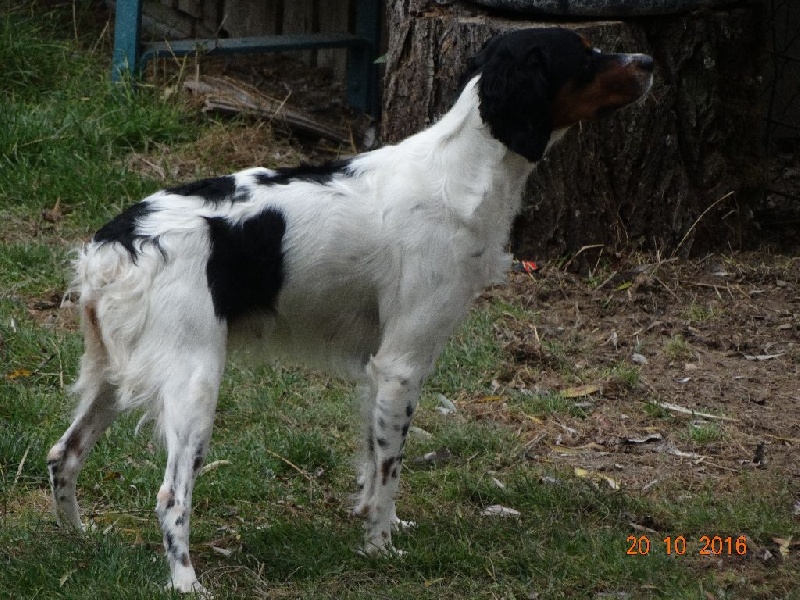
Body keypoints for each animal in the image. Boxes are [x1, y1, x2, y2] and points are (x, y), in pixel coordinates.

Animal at [48, 27, 653, 594]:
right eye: (584, 54)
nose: (648, 60)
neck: (461, 172)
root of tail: (115, 241)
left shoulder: (377, 367)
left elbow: (371, 458)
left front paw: (375, 523)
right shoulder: (402, 364)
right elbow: (389, 470)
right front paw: (381, 545)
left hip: (113, 376)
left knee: (63, 455)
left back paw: (78, 539)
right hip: (193, 380)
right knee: (171, 495)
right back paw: (186, 582)